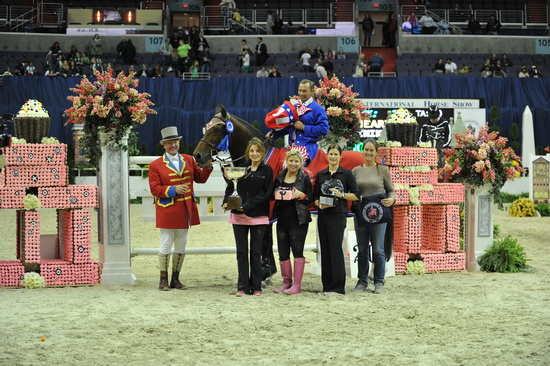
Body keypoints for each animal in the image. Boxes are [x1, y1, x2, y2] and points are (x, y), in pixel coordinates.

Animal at [192, 104, 368, 284]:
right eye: (207, 126)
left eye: (218, 128)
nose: (198, 155)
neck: (261, 159)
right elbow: (267, 240)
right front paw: (269, 272)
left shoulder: (267, 209)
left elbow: (264, 240)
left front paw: (264, 274)